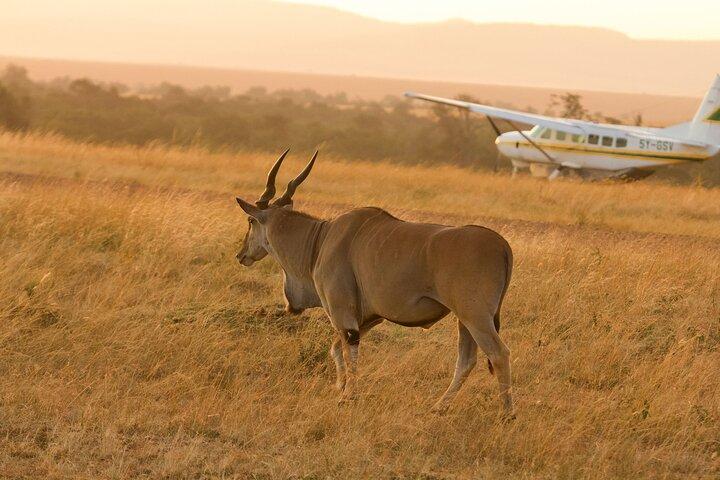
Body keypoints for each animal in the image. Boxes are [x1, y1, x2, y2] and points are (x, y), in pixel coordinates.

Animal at [235, 150, 515, 415]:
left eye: (250, 221)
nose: (241, 255)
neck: (320, 239)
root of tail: (502, 245)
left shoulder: (342, 312)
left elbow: (347, 349)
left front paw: (347, 396)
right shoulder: (369, 317)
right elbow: (337, 348)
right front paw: (341, 387)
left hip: (475, 316)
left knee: (499, 354)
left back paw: (507, 413)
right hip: (465, 320)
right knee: (467, 360)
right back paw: (439, 407)